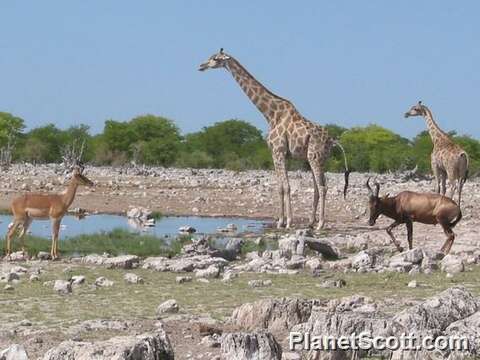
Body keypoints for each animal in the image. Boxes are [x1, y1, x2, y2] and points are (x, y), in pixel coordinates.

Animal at [199, 48, 348, 231]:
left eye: (215, 59)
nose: (201, 66)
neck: (270, 115)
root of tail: (332, 140)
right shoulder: (279, 154)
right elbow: (280, 187)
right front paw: (281, 221)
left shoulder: (278, 151)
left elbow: (286, 186)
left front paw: (287, 222)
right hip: (316, 158)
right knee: (317, 188)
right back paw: (311, 222)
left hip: (315, 156)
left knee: (323, 186)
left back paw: (320, 224)